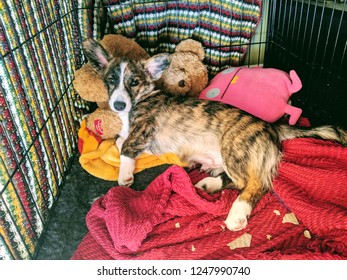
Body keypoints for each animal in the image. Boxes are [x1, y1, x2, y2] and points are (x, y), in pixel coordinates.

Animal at [83, 39, 347, 232]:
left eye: (134, 82)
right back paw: (210, 183)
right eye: (110, 80)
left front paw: (124, 176)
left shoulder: (144, 127)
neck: (138, 101)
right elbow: (119, 140)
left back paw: (237, 213)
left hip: (234, 147)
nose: (117, 105)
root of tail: (273, 127)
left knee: (255, 184)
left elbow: (125, 146)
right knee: (237, 181)